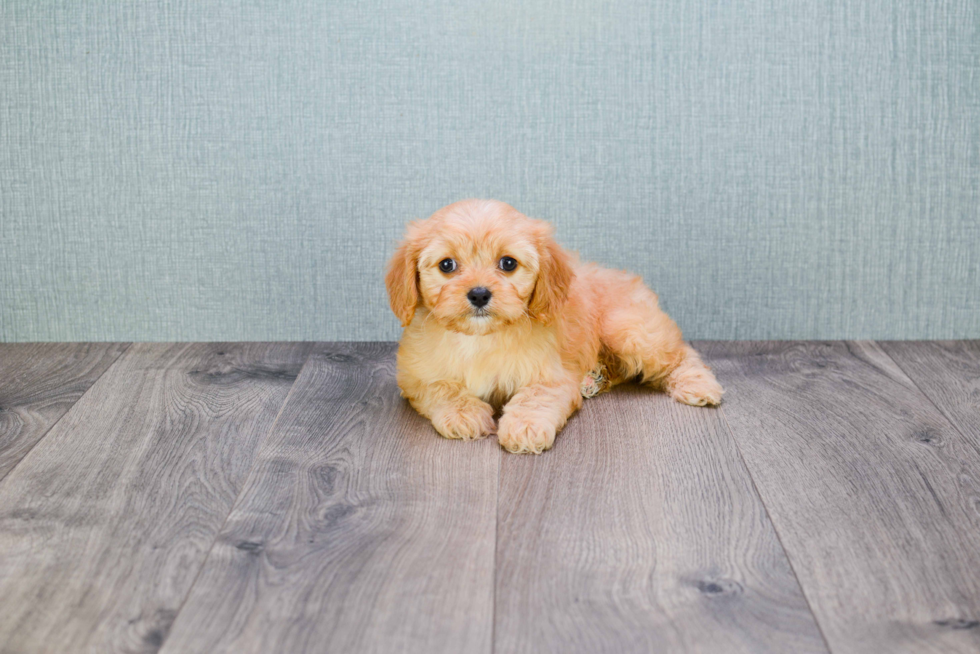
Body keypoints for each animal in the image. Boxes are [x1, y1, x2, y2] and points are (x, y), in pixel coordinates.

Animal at [386, 200, 724, 456]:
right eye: (447, 265)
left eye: (508, 263)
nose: (479, 294)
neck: (482, 338)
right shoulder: (415, 375)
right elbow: (442, 387)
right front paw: (463, 414)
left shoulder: (551, 375)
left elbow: (535, 397)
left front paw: (524, 427)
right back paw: (592, 379)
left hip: (631, 330)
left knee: (681, 353)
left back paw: (699, 385)